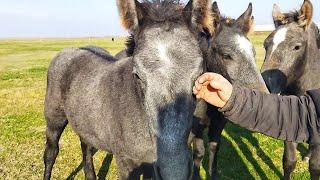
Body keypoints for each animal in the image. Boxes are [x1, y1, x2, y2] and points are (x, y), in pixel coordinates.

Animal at [42, 0, 215, 179]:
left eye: (199, 74)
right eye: (137, 74)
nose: (174, 171)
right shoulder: (126, 162)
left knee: (86, 148)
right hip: (54, 121)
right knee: (51, 152)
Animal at [189, 2, 268, 179]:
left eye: (253, 53)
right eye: (226, 55)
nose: (260, 100)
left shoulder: (219, 124)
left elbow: (213, 148)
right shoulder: (196, 127)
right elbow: (198, 152)